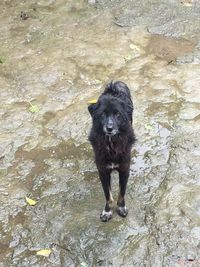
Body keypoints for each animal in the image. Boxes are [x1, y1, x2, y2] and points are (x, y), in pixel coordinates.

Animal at [88, 80, 136, 223]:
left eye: (118, 114)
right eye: (102, 114)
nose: (109, 128)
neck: (111, 144)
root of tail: (114, 86)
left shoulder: (124, 169)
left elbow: (121, 192)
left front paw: (121, 208)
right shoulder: (103, 171)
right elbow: (108, 196)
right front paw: (107, 212)